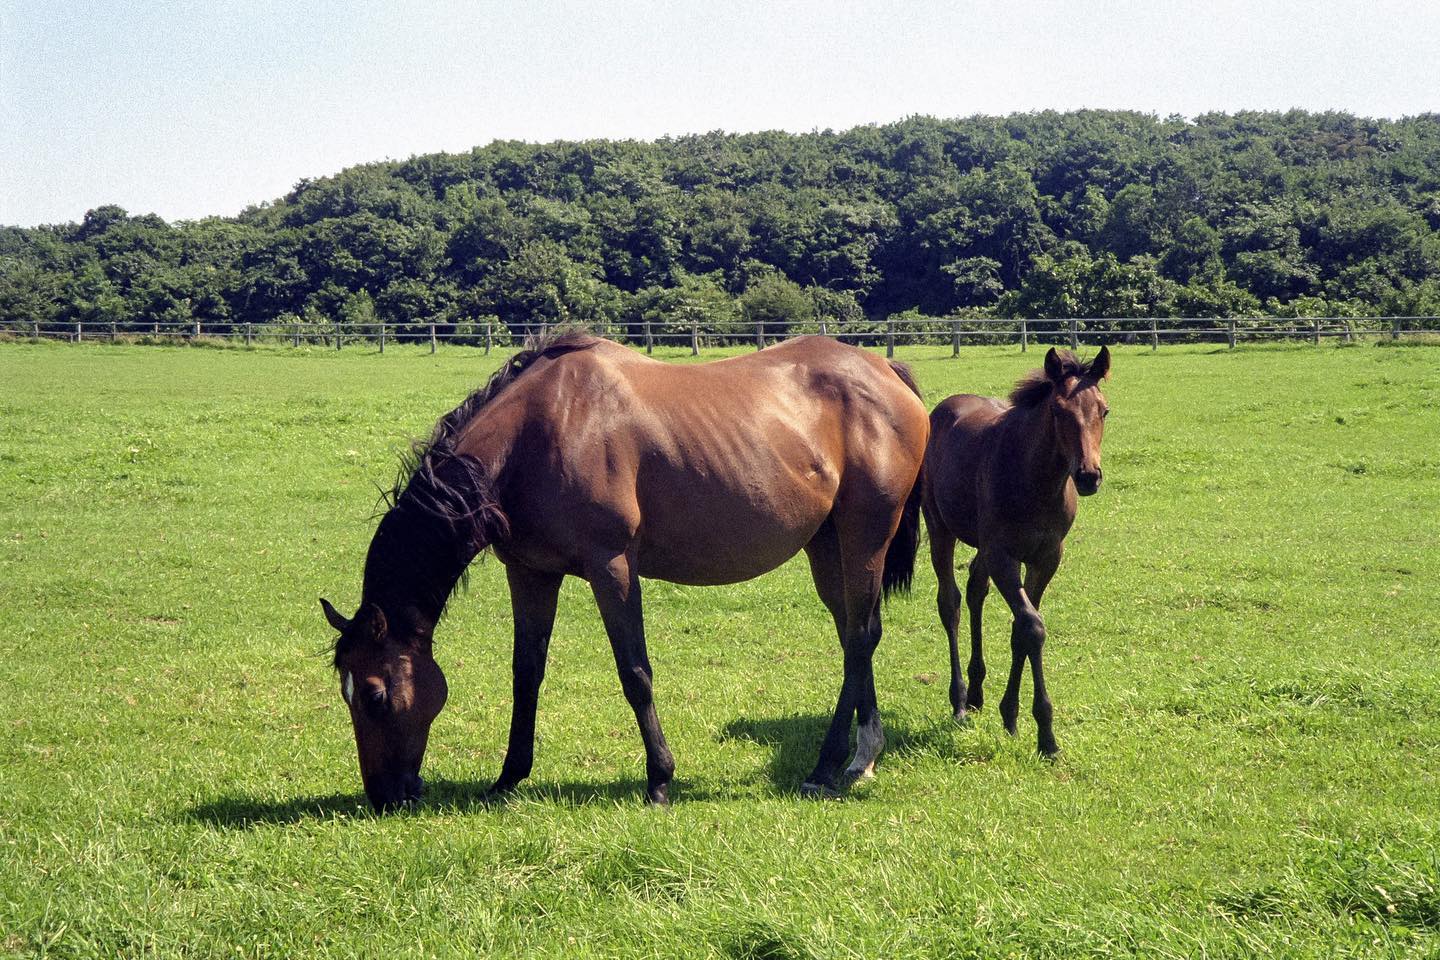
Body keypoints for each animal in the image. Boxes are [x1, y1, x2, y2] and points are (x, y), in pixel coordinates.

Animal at [319, 332, 927, 811]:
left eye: (373, 695)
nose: (384, 796)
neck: (536, 435)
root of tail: (884, 371)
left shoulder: (611, 566)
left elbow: (634, 671)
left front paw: (659, 779)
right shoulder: (531, 574)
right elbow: (526, 673)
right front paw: (509, 778)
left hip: (865, 535)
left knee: (861, 635)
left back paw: (826, 768)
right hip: (827, 545)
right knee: (853, 636)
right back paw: (862, 758)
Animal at [921, 345, 1111, 759]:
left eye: (1104, 410)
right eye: (1058, 411)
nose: (1088, 476)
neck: (1034, 480)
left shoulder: (1046, 558)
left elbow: (1022, 627)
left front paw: (1010, 714)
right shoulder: (1004, 556)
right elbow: (1032, 626)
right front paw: (1046, 735)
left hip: (983, 546)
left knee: (976, 590)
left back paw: (977, 692)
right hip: (941, 528)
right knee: (951, 602)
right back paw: (960, 700)